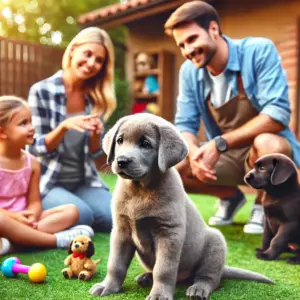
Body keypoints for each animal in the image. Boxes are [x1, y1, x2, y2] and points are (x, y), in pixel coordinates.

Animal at [90, 113, 274, 298]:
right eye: (120, 140)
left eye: (146, 144)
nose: (122, 161)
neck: (140, 190)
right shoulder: (121, 231)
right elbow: (115, 264)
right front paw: (108, 286)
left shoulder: (169, 233)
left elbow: (163, 269)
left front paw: (159, 294)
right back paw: (146, 277)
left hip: (216, 243)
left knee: (209, 278)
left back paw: (198, 288)